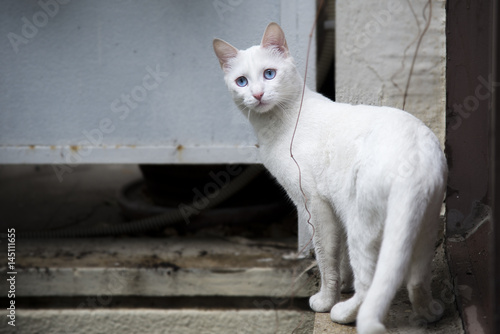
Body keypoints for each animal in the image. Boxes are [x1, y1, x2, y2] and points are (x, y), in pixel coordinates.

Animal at [213, 22, 448, 332]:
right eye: (241, 81)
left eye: (269, 74)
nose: (258, 94)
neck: (277, 124)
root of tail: (415, 156)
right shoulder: (335, 208)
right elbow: (341, 260)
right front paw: (343, 287)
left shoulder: (314, 206)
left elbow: (327, 260)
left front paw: (326, 300)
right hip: (422, 228)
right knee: (416, 282)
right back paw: (430, 313)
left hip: (362, 225)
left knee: (369, 286)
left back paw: (342, 313)